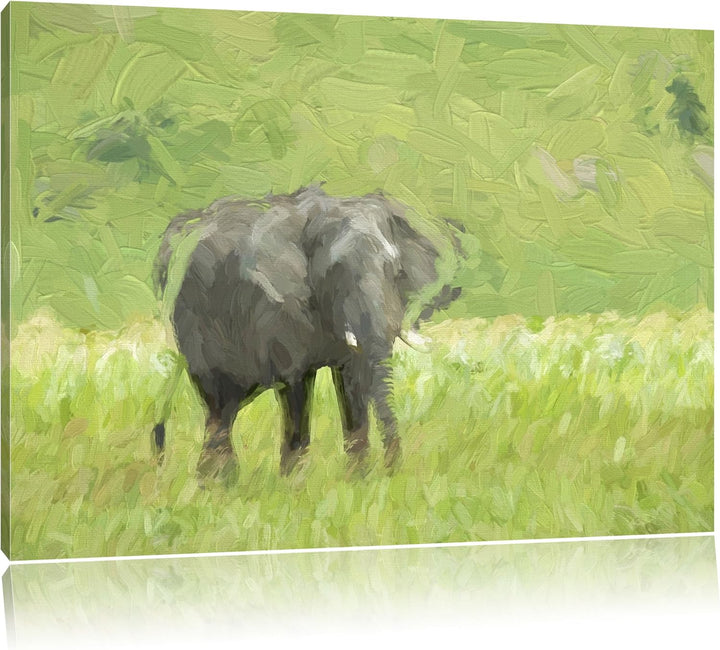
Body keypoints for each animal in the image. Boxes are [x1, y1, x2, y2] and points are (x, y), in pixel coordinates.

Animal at [152, 185, 454, 479]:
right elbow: (296, 382)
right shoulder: (279, 310)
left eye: (395, 270)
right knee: (217, 402)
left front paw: (358, 482)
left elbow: (352, 384)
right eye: (334, 272)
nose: (393, 474)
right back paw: (217, 482)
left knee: (227, 405)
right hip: (194, 319)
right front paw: (293, 485)